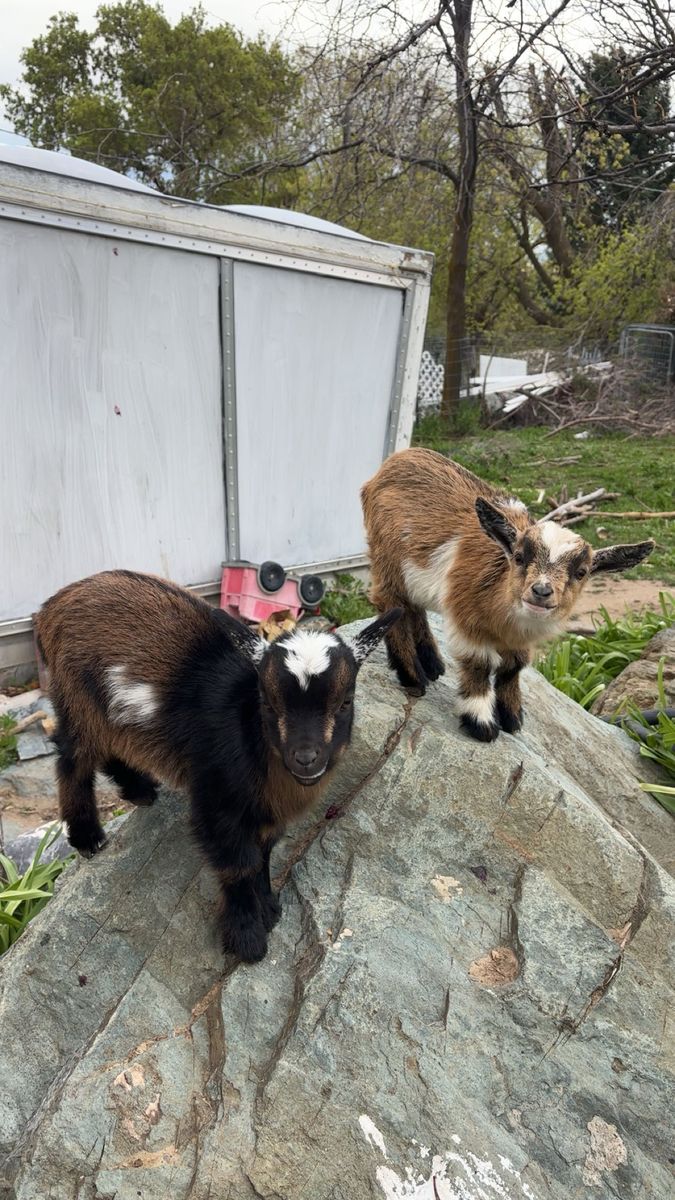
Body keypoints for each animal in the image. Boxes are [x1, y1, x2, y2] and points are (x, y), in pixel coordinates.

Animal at [35, 570, 401, 962]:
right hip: (77, 699)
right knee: (72, 760)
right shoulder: (216, 798)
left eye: (346, 701)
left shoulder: (265, 811)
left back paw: (140, 790)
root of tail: (51, 607)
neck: (248, 731)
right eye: (267, 703)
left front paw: (269, 907)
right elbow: (238, 864)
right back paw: (87, 835)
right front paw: (247, 937)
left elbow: (263, 853)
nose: (305, 758)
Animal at [361, 448, 654, 742]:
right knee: (392, 604)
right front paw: (481, 722)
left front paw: (512, 716)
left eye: (581, 572)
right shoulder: (467, 622)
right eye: (519, 557)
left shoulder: (519, 641)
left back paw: (433, 664)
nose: (541, 590)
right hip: (387, 560)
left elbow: (513, 667)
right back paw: (413, 677)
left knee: (414, 607)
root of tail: (398, 458)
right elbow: (479, 664)